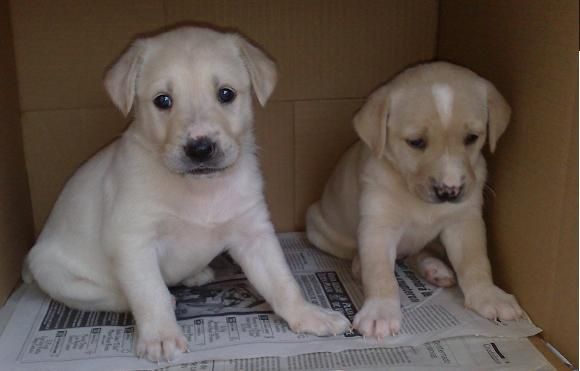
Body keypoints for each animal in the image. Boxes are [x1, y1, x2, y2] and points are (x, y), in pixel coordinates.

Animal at [22, 27, 348, 364]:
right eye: (162, 100)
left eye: (226, 94)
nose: (200, 148)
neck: (200, 189)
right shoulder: (132, 241)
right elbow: (149, 293)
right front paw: (160, 337)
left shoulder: (254, 232)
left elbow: (282, 281)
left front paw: (309, 315)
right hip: (57, 274)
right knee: (114, 296)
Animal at [306, 62, 524, 342]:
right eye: (416, 142)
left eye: (472, 137)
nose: (449, 191)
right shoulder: (378, 224)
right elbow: (380, 272)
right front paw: (380, 311)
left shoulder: (465, 221)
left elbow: (475, 261)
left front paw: (488, 294)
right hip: (318, 228)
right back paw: (358, 266)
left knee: (419, 253)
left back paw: (436, 269)